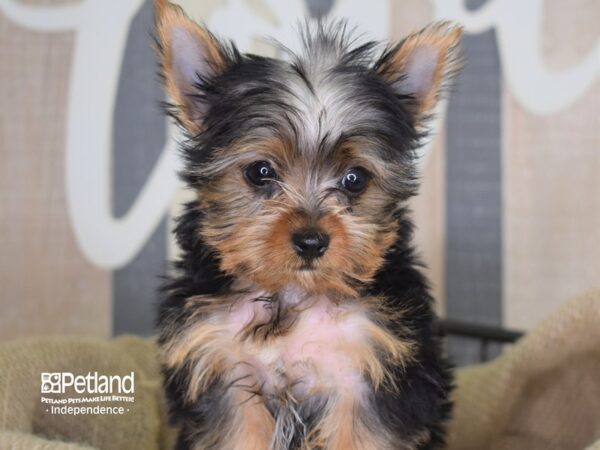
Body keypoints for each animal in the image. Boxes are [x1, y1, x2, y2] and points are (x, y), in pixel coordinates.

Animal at [155, 1, 464, 448]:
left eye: (355, 179)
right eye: (260, 172)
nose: (312, 241)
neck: (293, 294)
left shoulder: (371, 372)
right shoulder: (223, 370)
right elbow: (237, 431)